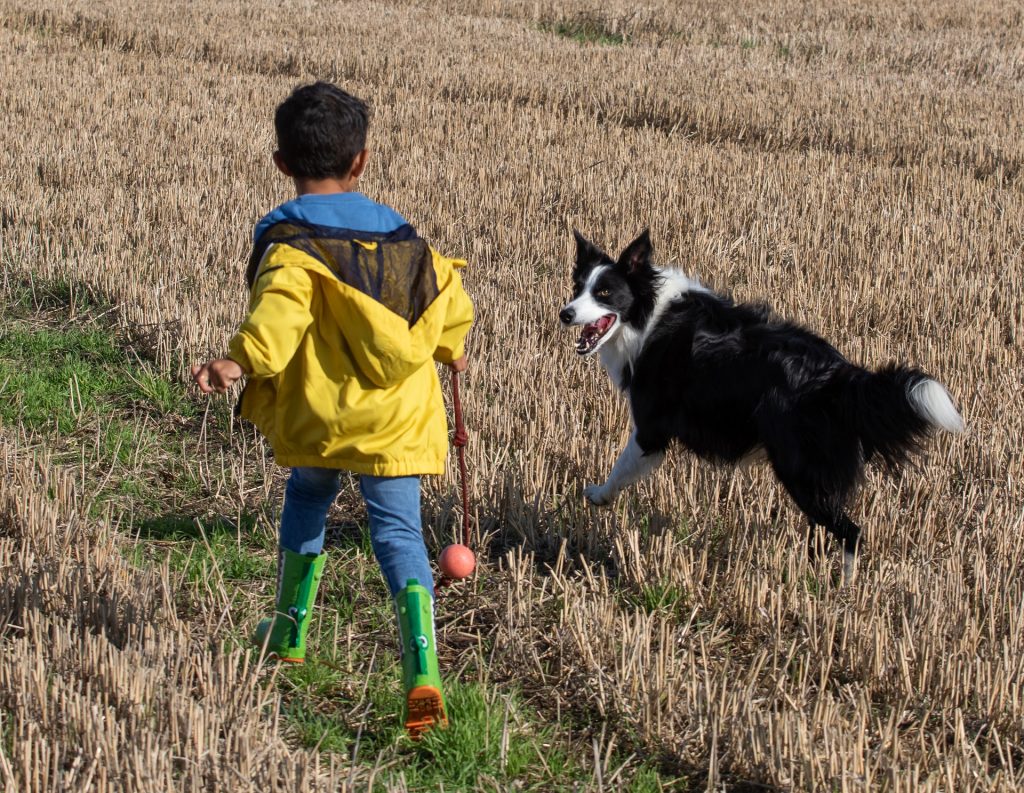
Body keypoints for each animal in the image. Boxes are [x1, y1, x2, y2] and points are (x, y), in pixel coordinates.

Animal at [565, 229, 962, 577]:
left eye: (604, 292)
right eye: (577, 288)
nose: (564, 314)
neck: (648, 315)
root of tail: (839, 375)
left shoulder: (650, 429)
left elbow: (621, 466)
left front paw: (598, 495)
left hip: (799, 469)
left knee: (851, 531)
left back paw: (843, 590)